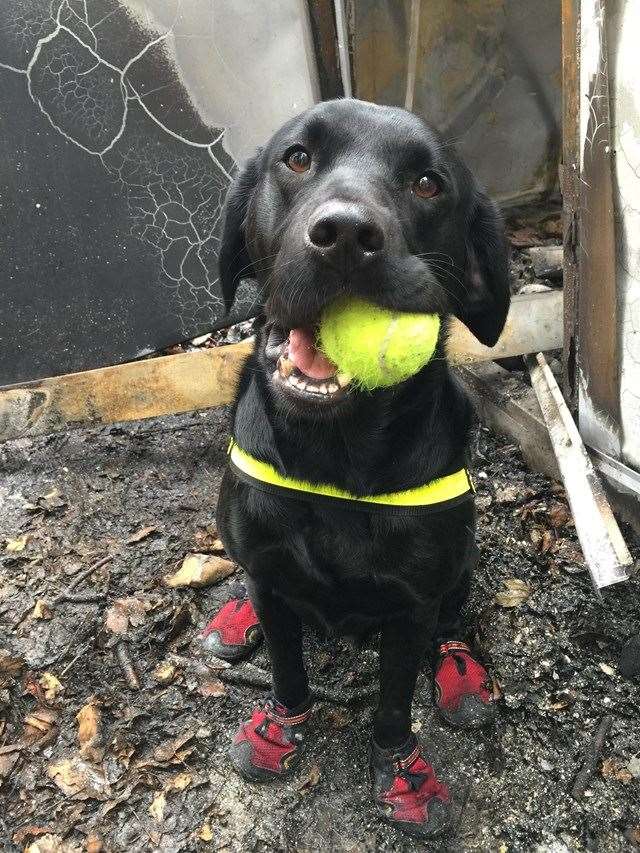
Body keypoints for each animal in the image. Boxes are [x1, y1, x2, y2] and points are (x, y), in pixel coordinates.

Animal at [215, 98, 510, 832]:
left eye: (429, 183)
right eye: (296, 157)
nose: (346, 234)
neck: (334, 461)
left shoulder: (410, 605)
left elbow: (394, 699)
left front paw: (400, 771)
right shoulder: (270, 574)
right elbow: (287, 669)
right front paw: (281, 728)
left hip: (461, 565)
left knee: (454, 620)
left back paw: (460, 673)